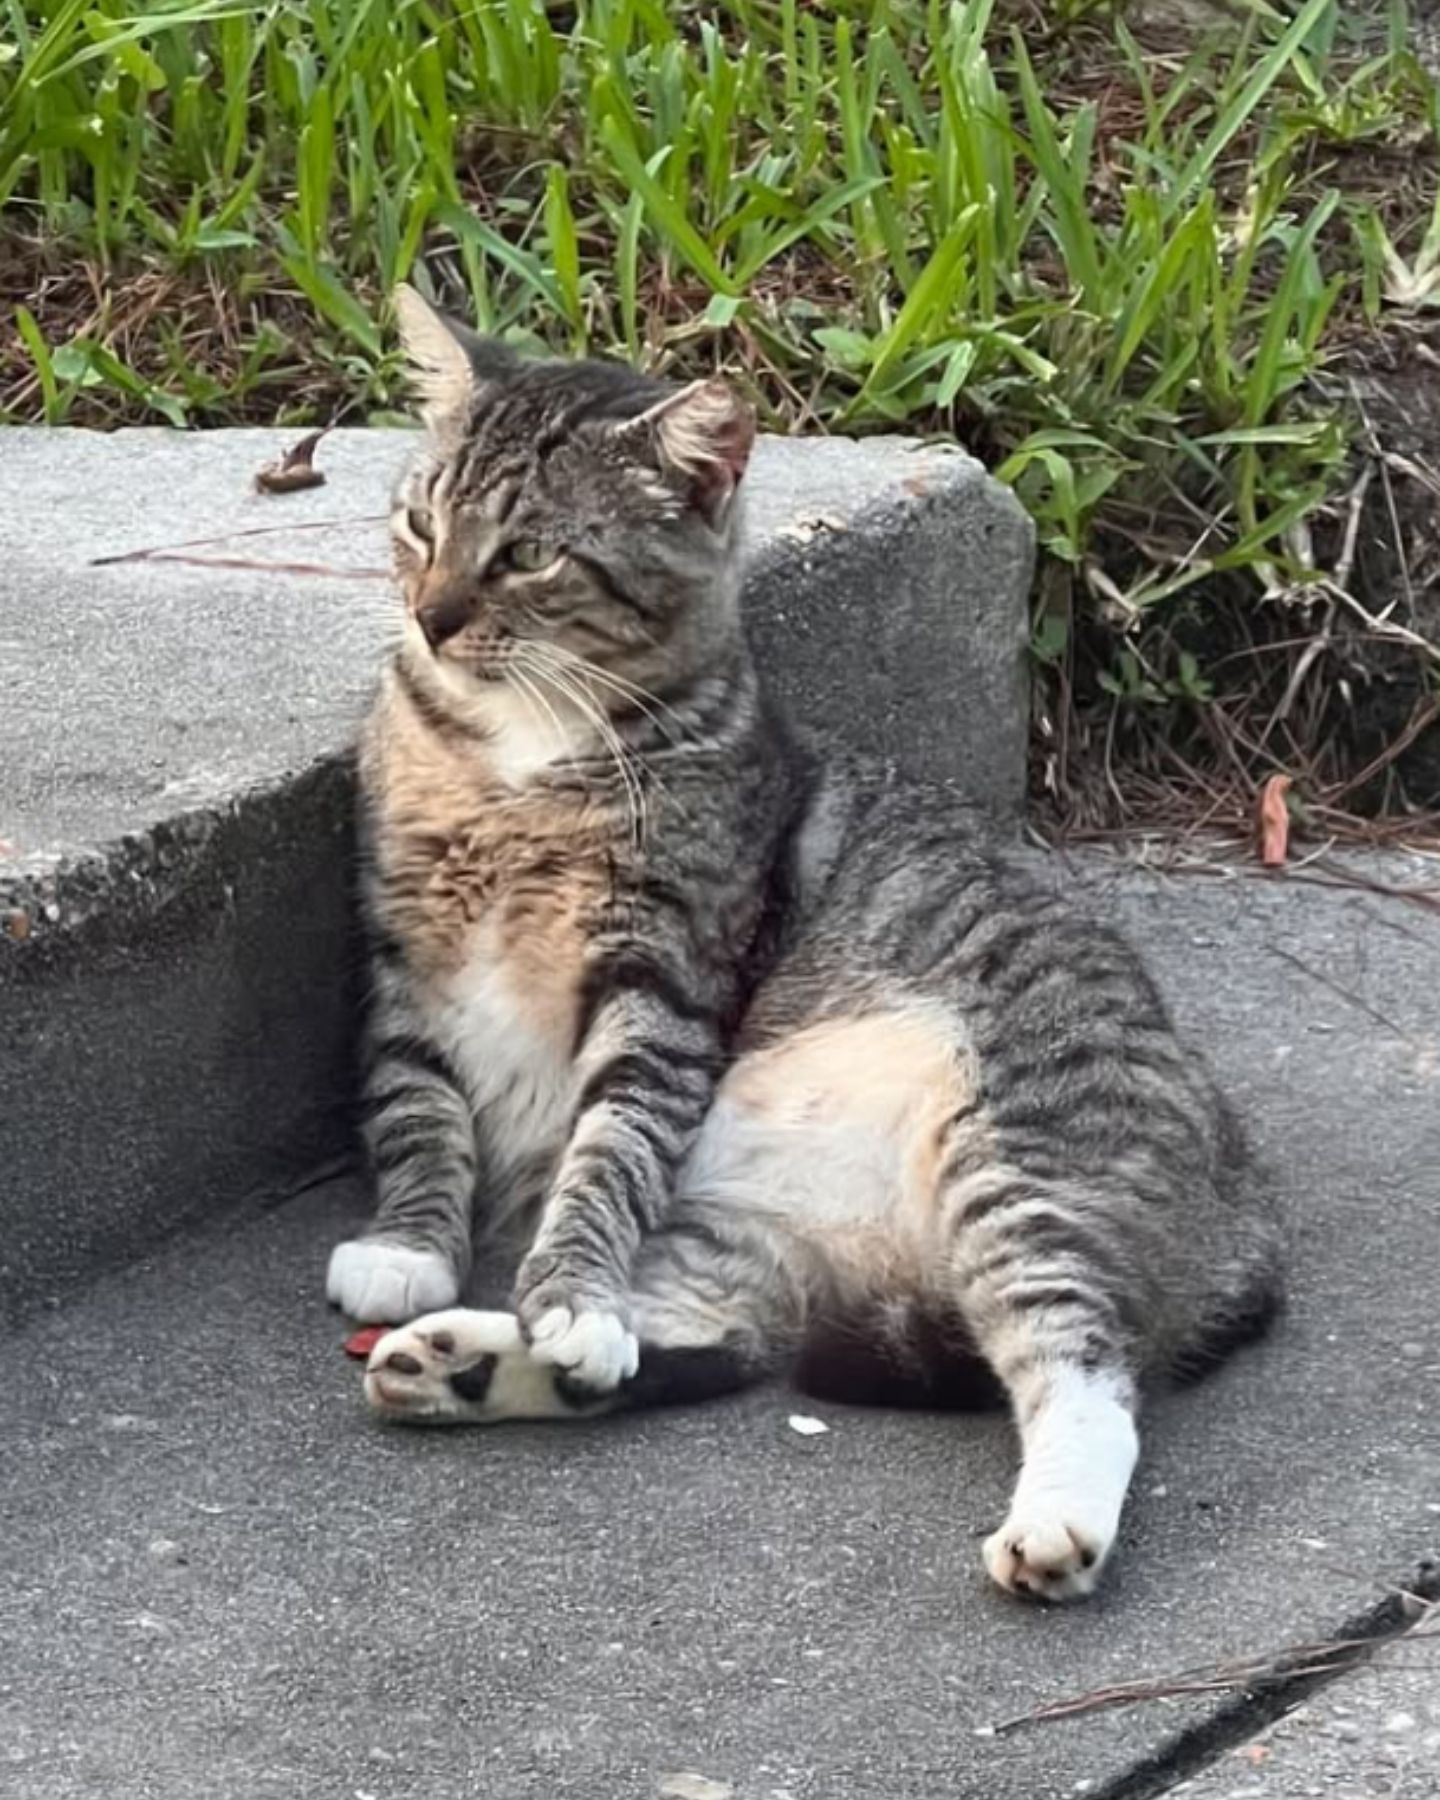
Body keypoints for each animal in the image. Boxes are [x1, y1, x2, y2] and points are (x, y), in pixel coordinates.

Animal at [329, 288, 1281, 1612]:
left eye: (526, 553)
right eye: (420, 524)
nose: (430, 618)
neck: (514, 756)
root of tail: (1246, 1207)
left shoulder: (667, 982)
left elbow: (605, 1155)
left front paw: (566, 1287)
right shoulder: (408, 960)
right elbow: (417, 1110)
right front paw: (412, 1247)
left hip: (1022, 1164)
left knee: (1086, 1366)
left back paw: (1055, 1526)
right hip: (738, 1230)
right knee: (685, 1349)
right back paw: (470, 1362)